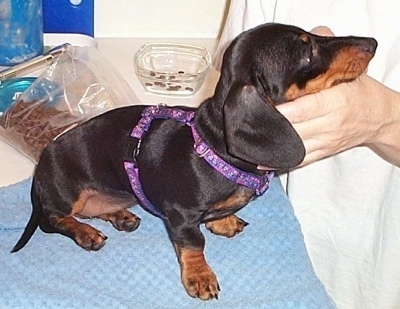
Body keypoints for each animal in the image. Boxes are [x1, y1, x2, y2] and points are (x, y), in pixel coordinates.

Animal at [10, 23, 376, 298]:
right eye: (307, 51)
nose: (371, 42)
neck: (215, 148)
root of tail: (40, 171)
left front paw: (223, 221)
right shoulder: (180, 215)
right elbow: (194, 243)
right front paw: (199, 276)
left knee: (91, 209)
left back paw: (119, 216)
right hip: (66, 192)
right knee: (55, 220)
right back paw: (85, 233)